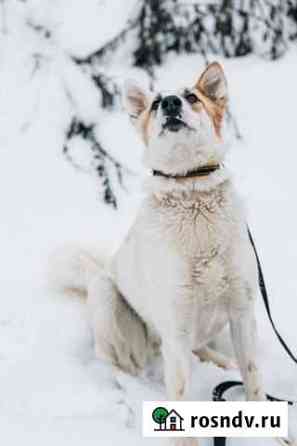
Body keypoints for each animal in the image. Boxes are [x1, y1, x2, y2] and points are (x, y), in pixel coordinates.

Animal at [52, 62, 264, 446]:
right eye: (154, 104)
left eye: (192, 97)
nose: (169, 103)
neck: (192, 191)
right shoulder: (175, 326)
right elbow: (180, 400)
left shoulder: (242, 312)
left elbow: (253, 379)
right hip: (108, 297)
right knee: (118, 364)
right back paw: (132, 390)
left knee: (202, 349)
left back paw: (221, 362)